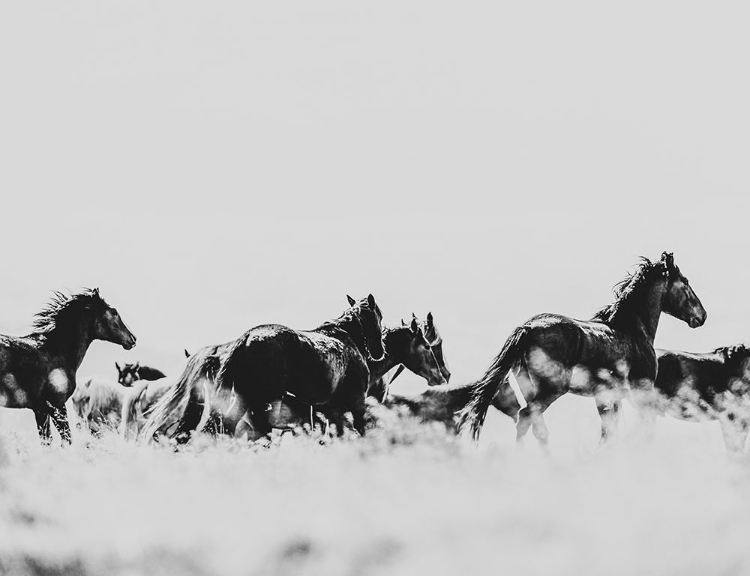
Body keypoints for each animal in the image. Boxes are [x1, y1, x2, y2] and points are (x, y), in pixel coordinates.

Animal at [0, 288, 137, 446]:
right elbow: (67, 439)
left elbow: (47, 441)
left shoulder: (40, 410)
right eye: (114, 312)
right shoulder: (57, 406)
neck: (56, 351)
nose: (132, 339)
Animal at [142, 294, 388, 444]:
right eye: (380, 316)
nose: (380, 350)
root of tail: (246, 339)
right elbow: (358, 429)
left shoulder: (325, 411)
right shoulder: (356, 403)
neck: (345, 339)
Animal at [458, 252, 712, 446]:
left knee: (535, 425)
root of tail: (528, 328)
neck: (632, 329)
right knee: (526, 417)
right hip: (551, 390)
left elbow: (609, 432)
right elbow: (642, 428)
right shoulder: (642, 392)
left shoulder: (607, 397)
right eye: (685, 282)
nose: (702, 316)